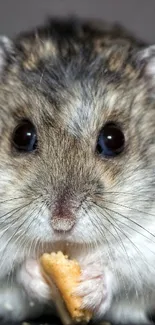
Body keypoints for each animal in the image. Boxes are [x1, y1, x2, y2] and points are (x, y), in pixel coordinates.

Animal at [0, 19, 154, 322]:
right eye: (21, 135)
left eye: (114, 139)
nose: (62, 225)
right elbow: (17, 275)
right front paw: (36, 274)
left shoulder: (145, 250)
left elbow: (119, 271)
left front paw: (88, 289)